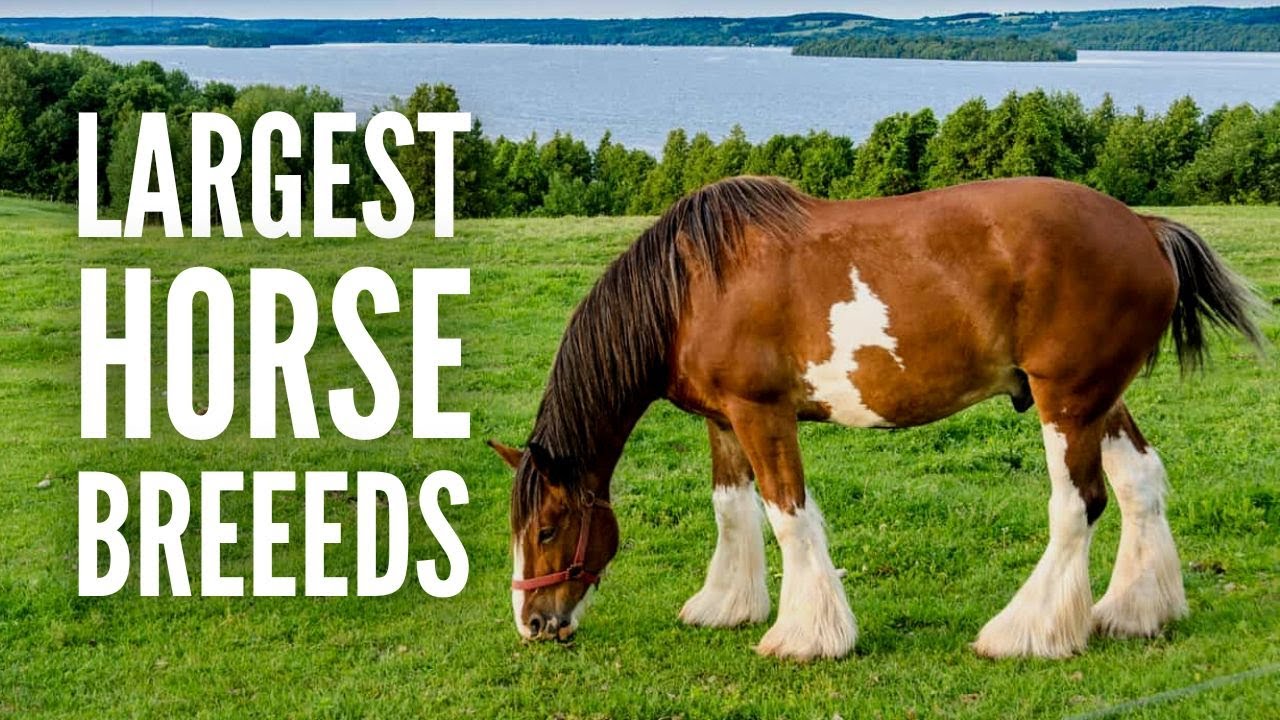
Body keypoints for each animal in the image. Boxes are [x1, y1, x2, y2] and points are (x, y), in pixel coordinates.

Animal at [489, 175, 1264, 660]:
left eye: (548, 529)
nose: (533, 624)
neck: (691, 288)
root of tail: (1146, 229)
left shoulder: (762, 414)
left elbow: (788, 516)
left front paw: (806, 636)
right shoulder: (724, 420)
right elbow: (732, 510)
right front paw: (727, 605)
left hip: (1066, 401)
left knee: (1079, 505)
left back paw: (1026, 633)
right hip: (1098, 397)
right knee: (1140, 482)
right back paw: (1135, 611)